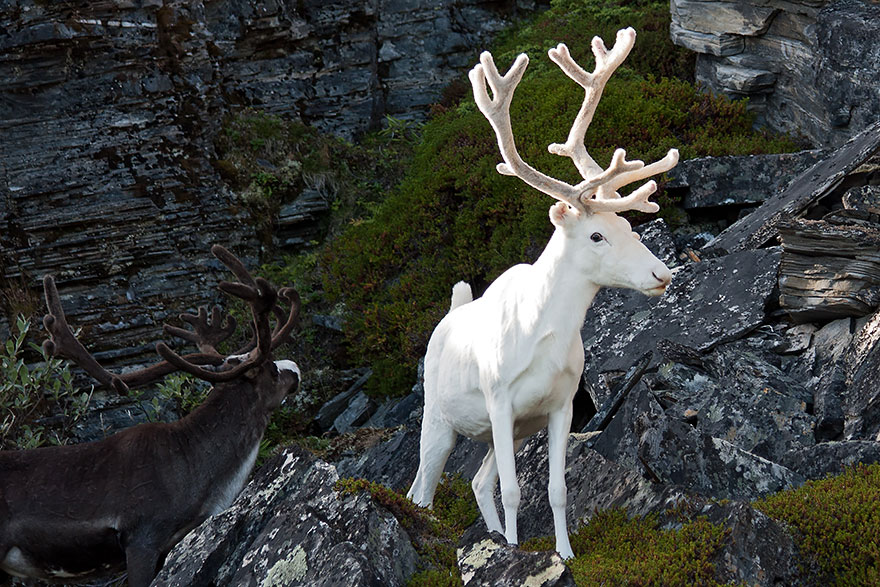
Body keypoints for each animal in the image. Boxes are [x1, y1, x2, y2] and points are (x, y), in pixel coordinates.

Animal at [406, 28, 678, 559]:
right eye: (597, 235)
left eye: (627, 225)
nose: (661, 273)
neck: (546, 335)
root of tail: (450, 311)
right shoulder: (498, 399)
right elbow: (515, 490)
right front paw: (519, 551)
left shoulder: (559, 406)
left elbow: (556, 489)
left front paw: (564, 554)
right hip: (438, 418)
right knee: (422, 490)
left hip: (505, 433)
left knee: (476, 482)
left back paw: (493, 537)